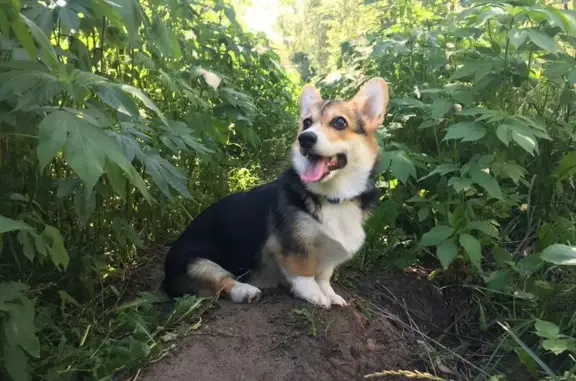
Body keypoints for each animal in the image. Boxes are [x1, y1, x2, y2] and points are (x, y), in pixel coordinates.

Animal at [160, 76, 390, 306]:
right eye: (307, 122)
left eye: (339, 122)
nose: (305, 138)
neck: (333, 196)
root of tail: (165, 275)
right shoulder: (292, 246)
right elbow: (304, 272)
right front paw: (315, 295)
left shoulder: (327, 256)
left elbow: (324, 276)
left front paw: (331, 295)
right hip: (197, 263)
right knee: (222, 282)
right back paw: (245, 291)